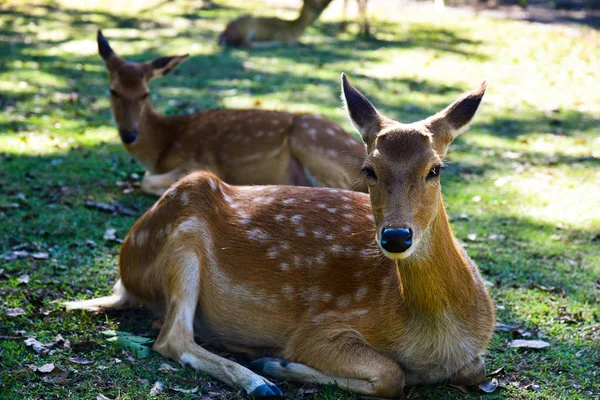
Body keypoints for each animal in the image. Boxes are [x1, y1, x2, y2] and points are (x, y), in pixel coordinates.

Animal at [67, 74, 496, 396]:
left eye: (435, 169)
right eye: (368, 169)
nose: (395, 237)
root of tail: (125, 275)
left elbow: (474, 369)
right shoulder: (320, 327)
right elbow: (393, 375)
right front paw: (279, 362)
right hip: (182, 237)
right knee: (171, 336)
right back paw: (259, 380)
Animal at [97, 28, 366, 195]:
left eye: (145, 94)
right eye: (113, 91)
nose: (129, 134)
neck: (162, 146)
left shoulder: (199, 161)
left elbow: (145, 181)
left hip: (312, 139)